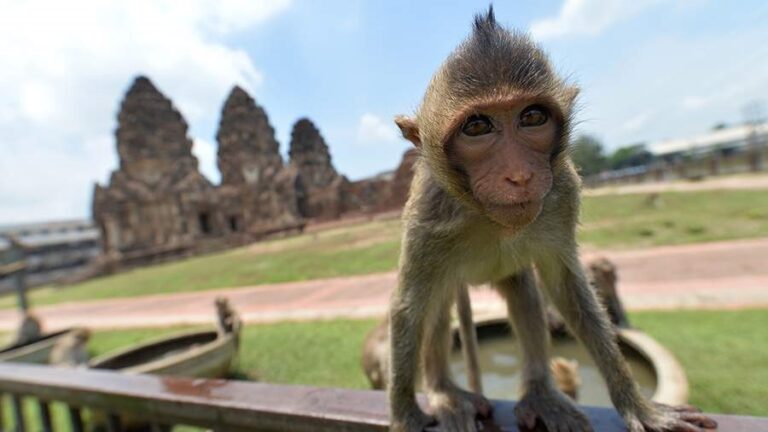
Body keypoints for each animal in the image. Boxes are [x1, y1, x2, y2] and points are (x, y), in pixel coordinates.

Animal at [388, 7, 716, 432]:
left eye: (532, 117)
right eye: (476, 126)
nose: (519, 175)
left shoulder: (562, 192)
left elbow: (566, 287)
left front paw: (638, 405)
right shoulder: (429, 215)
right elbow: (409, 307)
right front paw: (406, 415)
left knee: (524, 293)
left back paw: (540, 393)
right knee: (437, 305)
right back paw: (446, 391)